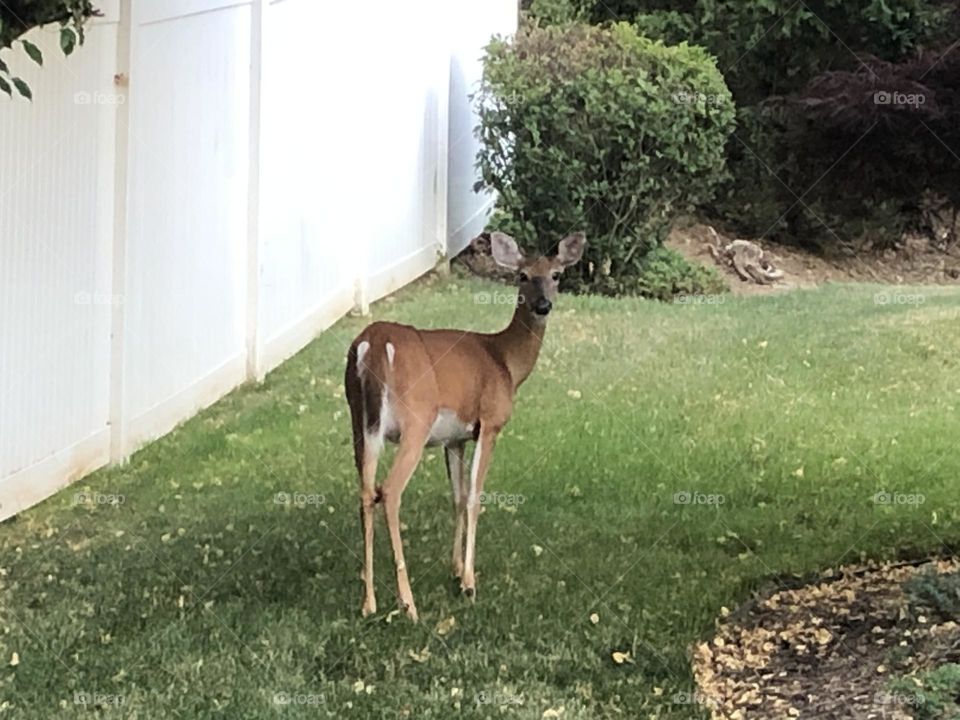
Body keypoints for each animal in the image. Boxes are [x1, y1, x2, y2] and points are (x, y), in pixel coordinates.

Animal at [343, 231, 585, 621]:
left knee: (365, 492)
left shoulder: (453, 438)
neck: (506, 362)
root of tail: (373, 346)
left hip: (359, 422)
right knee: (389, 491)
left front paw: (455, 568)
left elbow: (456, 496)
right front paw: (469, 582)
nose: (543, 305)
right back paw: (408, 603)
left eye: (556, 275)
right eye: (522, 275)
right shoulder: (489, 423)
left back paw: (369, 602)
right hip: (415, 420)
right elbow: (474, 497)